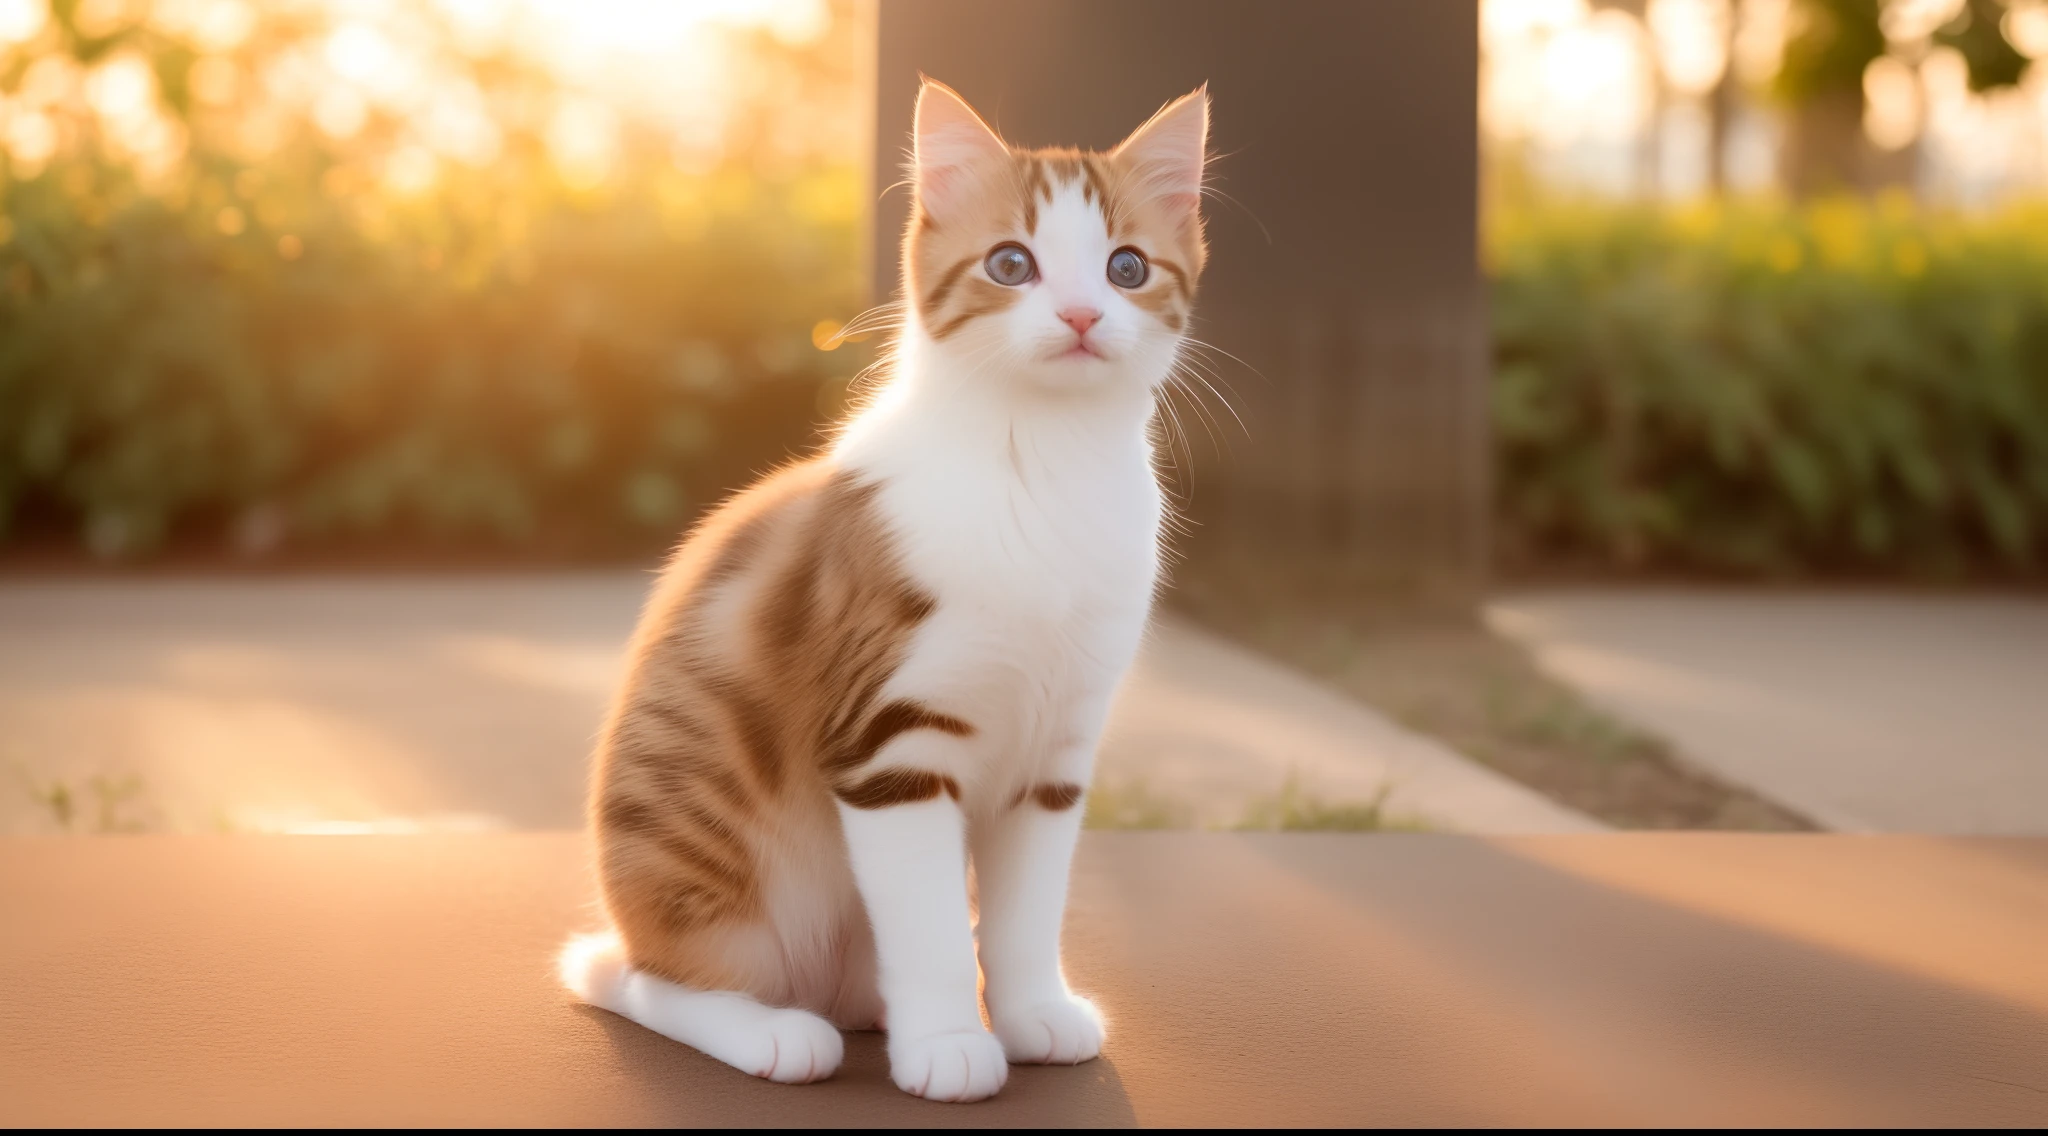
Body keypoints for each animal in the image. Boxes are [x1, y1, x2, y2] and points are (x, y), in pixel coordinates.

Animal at [552, 77, 1204, 1105]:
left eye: (1127, 267)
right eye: (1012, 264)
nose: (1081, 316)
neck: (1042, 462)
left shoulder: (1056, 752)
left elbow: (1025, 909)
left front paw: (1031, 1012)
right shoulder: (888, 740)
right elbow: (929, 920)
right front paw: (948, 1042)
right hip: (700, 857)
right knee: (635, 975)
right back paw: (773, 1030)